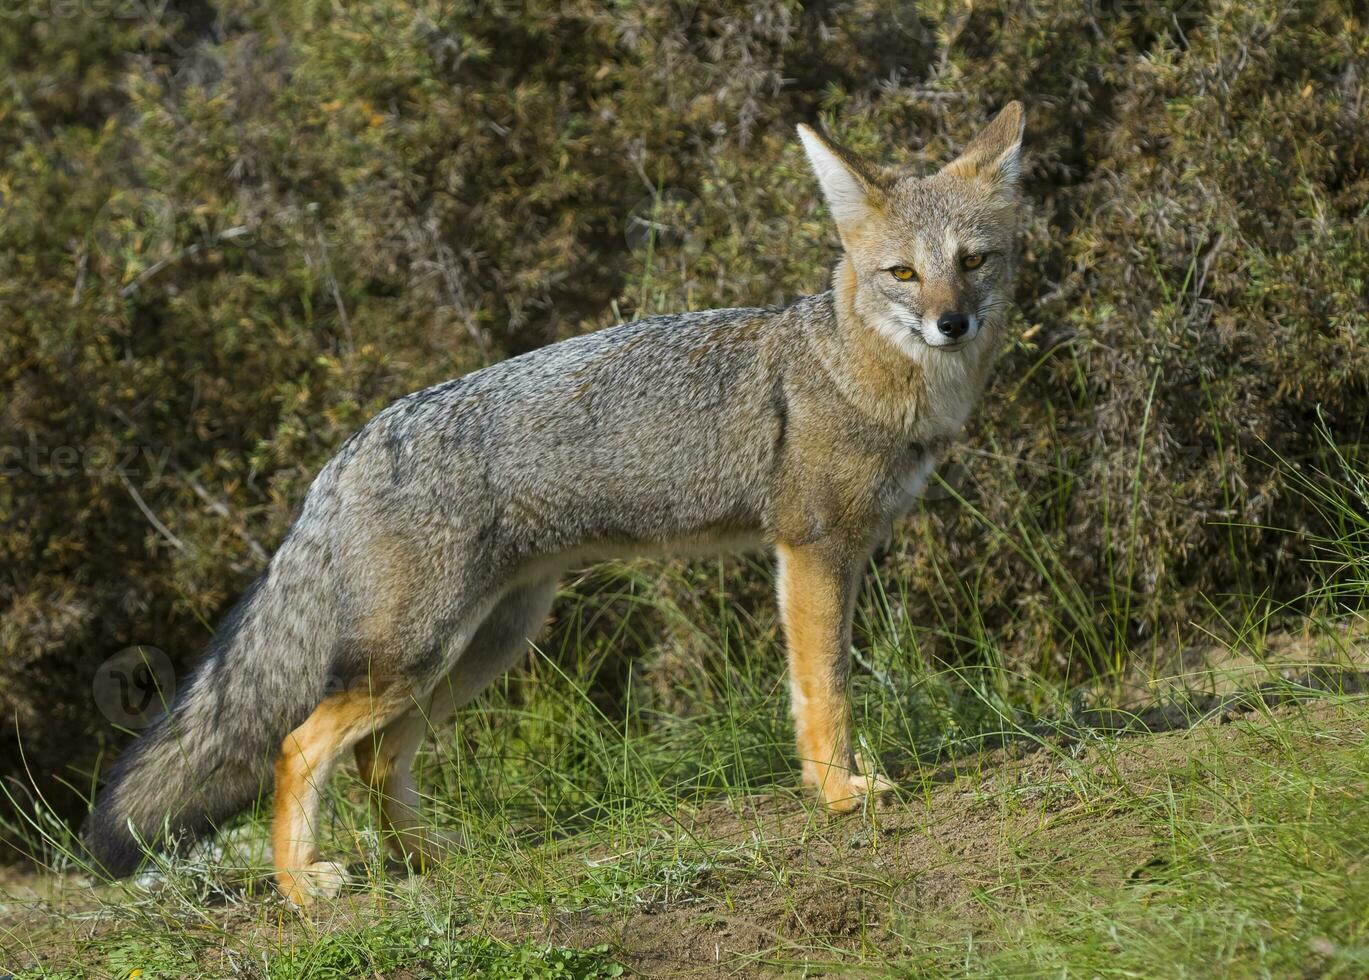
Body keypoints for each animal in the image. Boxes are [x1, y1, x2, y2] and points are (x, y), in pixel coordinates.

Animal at [82, 101, 1029, 903]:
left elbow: (824, 684)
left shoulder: (845, 553)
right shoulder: (811, 549)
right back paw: (301, 886)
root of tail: (350, 449)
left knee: (377, 759)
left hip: (482, 649)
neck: (853, 369)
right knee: (296, 745)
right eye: (902, 272)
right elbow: (823, 690)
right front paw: (837, 794)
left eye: (971, 262)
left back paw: (425, 860)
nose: (951, 324)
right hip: (420, 653)